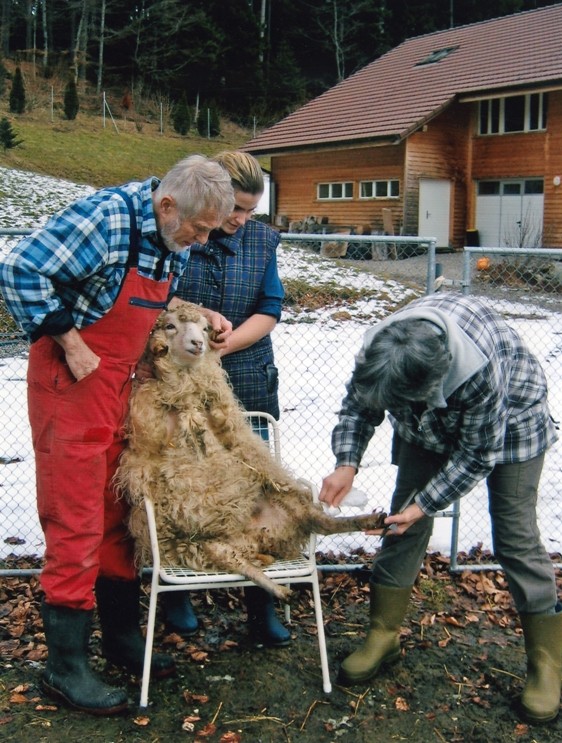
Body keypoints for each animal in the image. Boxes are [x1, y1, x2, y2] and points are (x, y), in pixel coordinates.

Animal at [115, 306, 384, 600]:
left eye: (205, 329)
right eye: (171, 326)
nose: (197, 344)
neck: (185, 381)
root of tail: (259, 537)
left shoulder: (222, 413)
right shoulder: (147, 424)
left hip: (283, 497)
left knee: (322, 522)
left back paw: (369, 519)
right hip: (202, 545)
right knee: (240, 562)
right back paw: (280, 590)